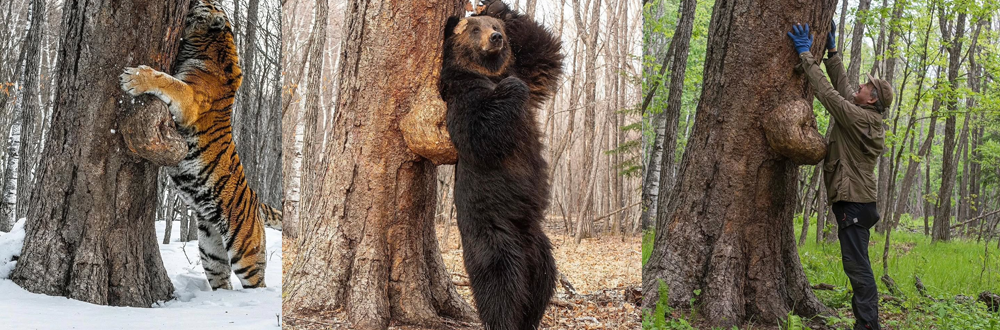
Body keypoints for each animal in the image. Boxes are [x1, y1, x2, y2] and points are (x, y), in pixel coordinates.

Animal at [119, 0, 280, 288]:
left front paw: (135, 77)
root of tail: (258, 202)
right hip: (210, 251)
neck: (210, 44)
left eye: (210, 2)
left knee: (256, 282)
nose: (194, 0)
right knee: (221, 280)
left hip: (245, 253)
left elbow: (167, 80)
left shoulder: (189, 98)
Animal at [438, 1, 564, 328]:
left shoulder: (527, 73)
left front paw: (500, 7)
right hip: (494, 233)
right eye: (473, 30)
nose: (495, 38)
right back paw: (504, 318)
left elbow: (544, 54)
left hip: (539, 245)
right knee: (500, 283)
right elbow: (479, 131)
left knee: (543, 281)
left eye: (495, 27)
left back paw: (530, 317)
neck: (487, 72)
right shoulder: (461, 96)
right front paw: (511, 86)